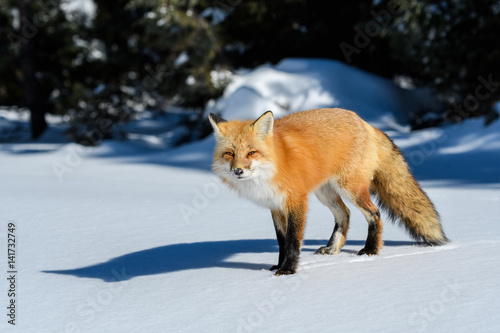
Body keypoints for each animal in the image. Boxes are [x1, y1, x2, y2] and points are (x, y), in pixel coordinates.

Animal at [208, 109, 450, 274]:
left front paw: (287, 270)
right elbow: (281, 241)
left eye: (251, 153)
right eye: (230, 154)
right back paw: (333, 248)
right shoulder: (275, 206)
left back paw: (371, 250)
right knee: (345, 215)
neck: (274, 164)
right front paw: (278, 265)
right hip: (325, 193)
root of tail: (365, 122)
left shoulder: (297, 201)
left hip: (351, 189)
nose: (238, 171)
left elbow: (293, 241)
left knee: (374, 214)